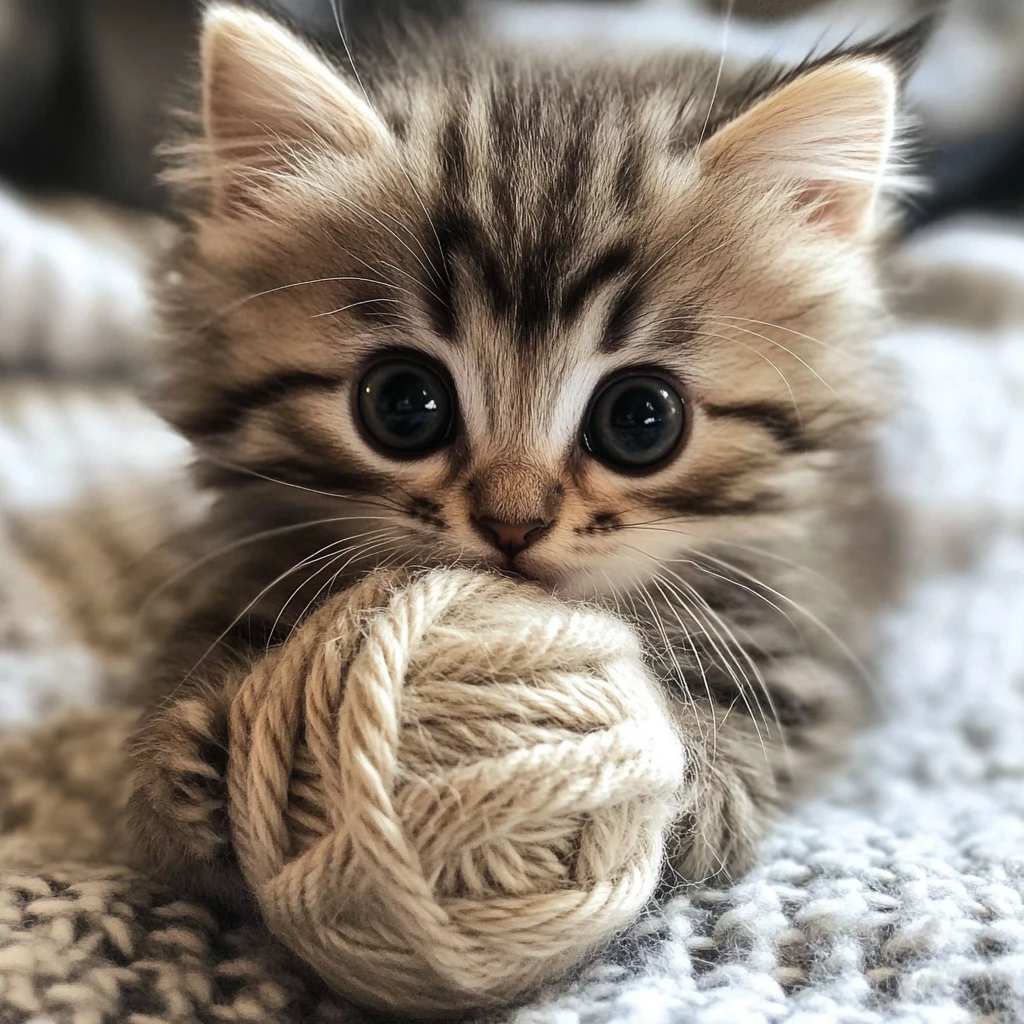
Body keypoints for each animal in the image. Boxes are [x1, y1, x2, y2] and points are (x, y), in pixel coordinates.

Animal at [128, 6, 921, 905]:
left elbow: (758, 685)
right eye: (402, 403)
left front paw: (695, 780)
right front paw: (186, 759)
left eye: (641, 420)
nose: (512, 525)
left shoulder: (806, 607)